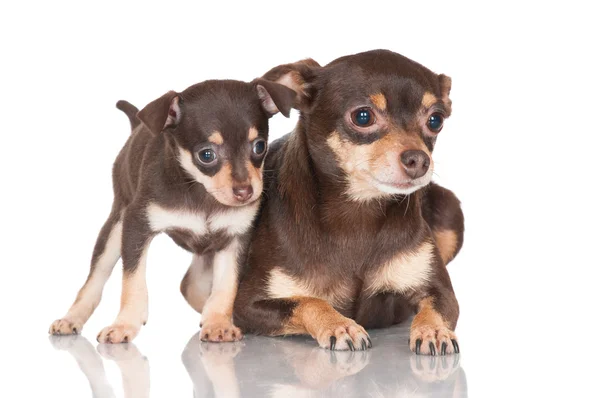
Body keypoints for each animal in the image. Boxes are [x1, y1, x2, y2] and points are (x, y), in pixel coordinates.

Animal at [49, 78, 296, 342]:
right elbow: (132, 282)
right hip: (116, 227)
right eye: (206, 155)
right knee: (94, 280)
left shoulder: (235, 239)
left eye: (259, 147)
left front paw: (219, 322)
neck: (202, 193)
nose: (245, 192)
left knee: (191, 285)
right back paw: (70, 319)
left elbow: (226, 286)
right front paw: (125, 324)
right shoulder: (136, 226)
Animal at [233, 48, 464, 356]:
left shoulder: (440, 291)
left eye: (435, 120)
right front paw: (340, 325)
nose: (419, 159)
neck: (358, 212)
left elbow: (435, 308)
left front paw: (433, 330)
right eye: (363, 116)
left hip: (450, 211)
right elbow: (309, 301)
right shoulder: (247, 306)